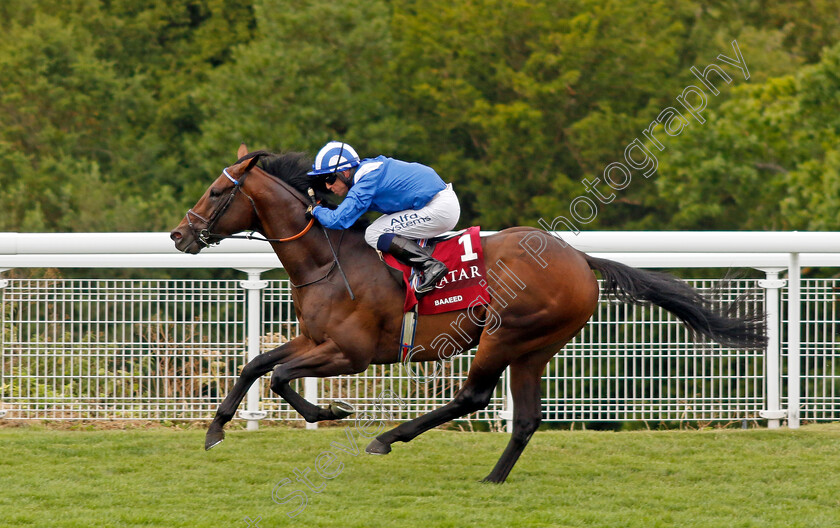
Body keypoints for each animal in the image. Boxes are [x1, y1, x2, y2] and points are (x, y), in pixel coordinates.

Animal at [171, 144, 768, 482]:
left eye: (217, 190)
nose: (179, 235)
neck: (328, 258)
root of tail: (578, 258)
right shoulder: (316, 339)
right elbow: (257, 365)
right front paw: (215, 430)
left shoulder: (351, 352)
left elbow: (280, 377)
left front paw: (332, 412)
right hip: (537, 347)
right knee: (525, 419)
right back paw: (492, 480)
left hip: (506, 334)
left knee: (473, 397)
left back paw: (388, 438)